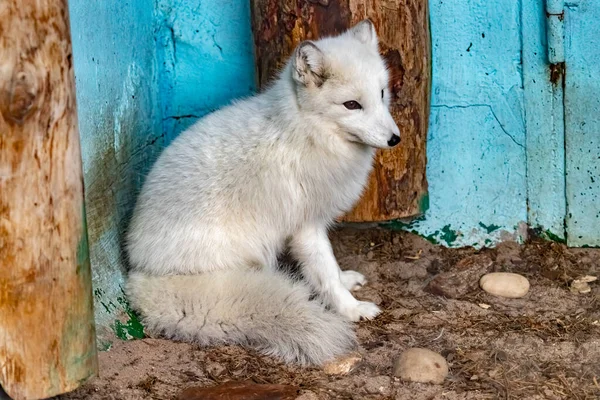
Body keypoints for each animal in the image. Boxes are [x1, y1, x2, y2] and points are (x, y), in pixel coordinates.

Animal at [125, 19, 398, 366]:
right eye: (352, 105)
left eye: (381, 94)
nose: (395, 139)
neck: (305, 132)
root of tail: (140, 274)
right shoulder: (306, 227)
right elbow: (325, 273)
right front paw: (351, 308)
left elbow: (332, 268)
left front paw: (345, 280)